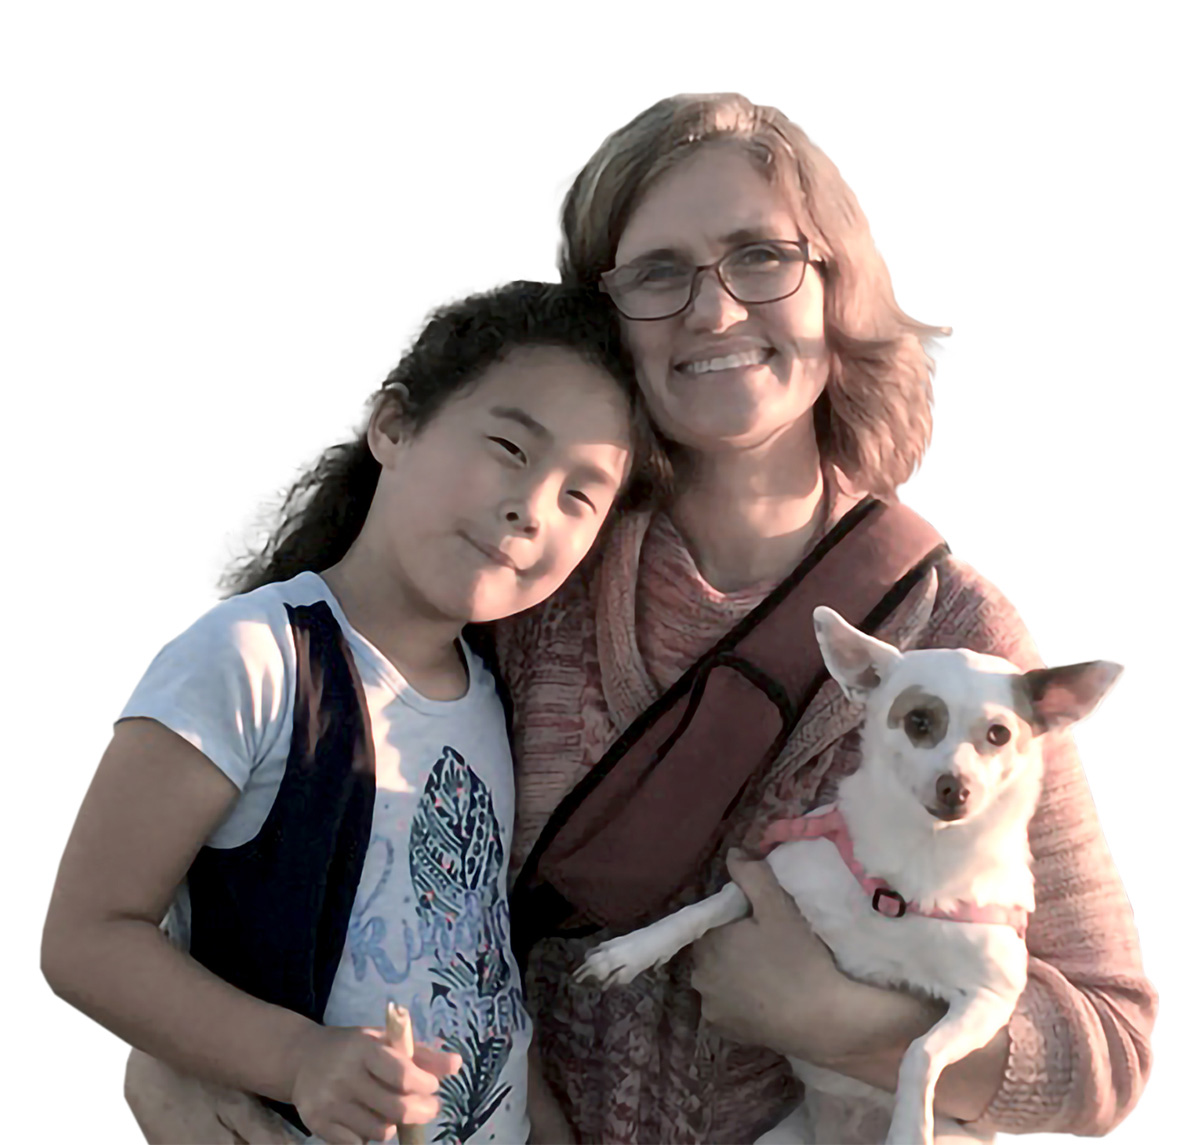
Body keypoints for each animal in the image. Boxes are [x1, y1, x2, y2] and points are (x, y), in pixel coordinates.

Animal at [576, 602, 1118, 1137]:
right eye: (919, 721)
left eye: (999, 734)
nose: (956, 786)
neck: (913, 865)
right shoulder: (773, 875)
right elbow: (702, 908)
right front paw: (630, 951)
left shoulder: (989, 999)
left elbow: (921, 1052)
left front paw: (909, 1126)